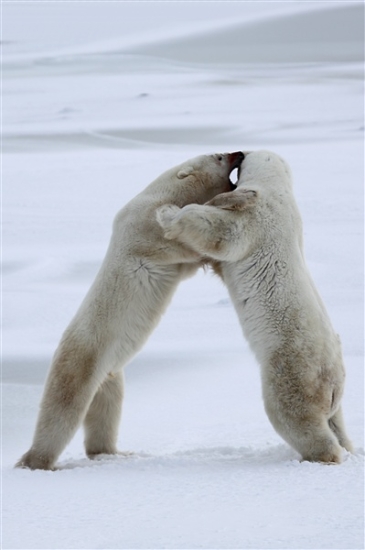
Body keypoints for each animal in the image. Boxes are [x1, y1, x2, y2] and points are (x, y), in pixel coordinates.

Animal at [15, 151, 242, 470]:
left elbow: (183, 266)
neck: (164, 193)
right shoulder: (144, 227)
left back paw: (113, 452)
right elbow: (173, 245)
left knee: (107, 410)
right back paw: (36, 461)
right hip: (82, 360)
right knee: (61, 411)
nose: (240, 153)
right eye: (219, 157)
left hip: (110, 374)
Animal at [157, 149, 352, 464]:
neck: (278, 188)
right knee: (336, 421)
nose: (240, 152)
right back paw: (347, 446)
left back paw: (320, 455)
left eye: (245, 159)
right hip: (332, 389)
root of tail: (333, 383)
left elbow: (221, 232)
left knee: (293, 416)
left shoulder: (259, 218)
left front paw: (168, 212)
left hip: (290, 368)